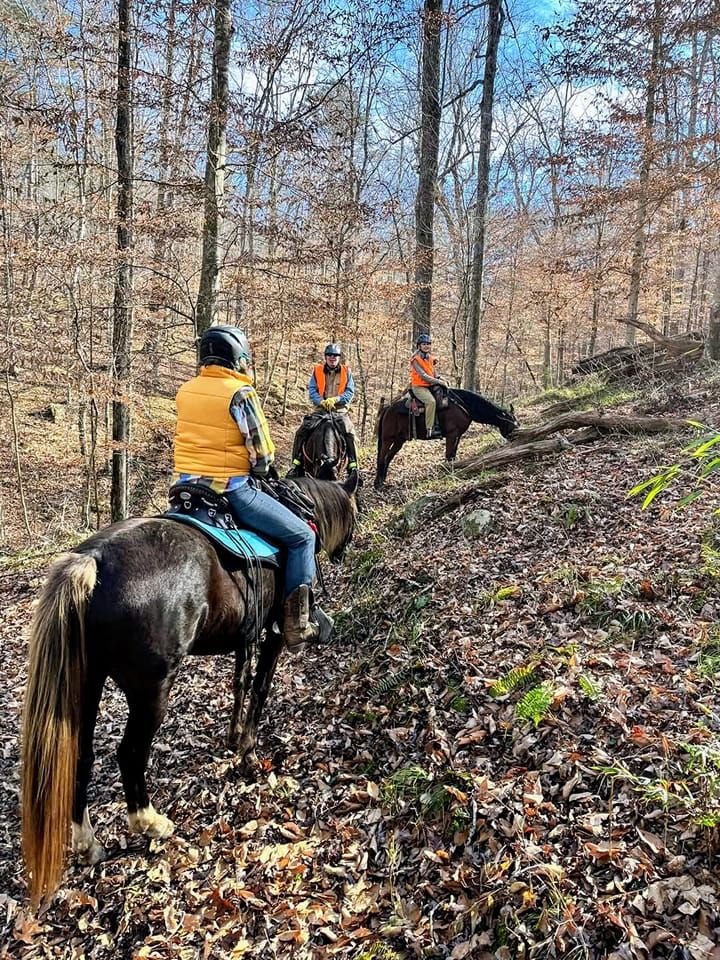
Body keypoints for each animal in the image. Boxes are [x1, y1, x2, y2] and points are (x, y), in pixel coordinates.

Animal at [21, 474, 358, 908]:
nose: (345, 550)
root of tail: (93, 561)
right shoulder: (272, 636)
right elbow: (260, 689)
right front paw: (248, 754)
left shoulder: (244, 637)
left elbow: (239, 682)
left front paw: (232, 738)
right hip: (152, 689)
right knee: (130, 753)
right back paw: (151, 823)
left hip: (86, 682)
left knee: (82, 754)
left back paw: (88, 843)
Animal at [374, 386, 520, 488]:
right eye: (511, 424)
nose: (515, 439)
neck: (464, 405)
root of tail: (387, 409)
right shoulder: (451, 435)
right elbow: (448, 455)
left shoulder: (457, 436)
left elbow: (453, 456)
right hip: (387, 439)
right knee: (381, 458)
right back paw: (377, 484)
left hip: (399, 440)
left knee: (388, 458)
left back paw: (383, 479)